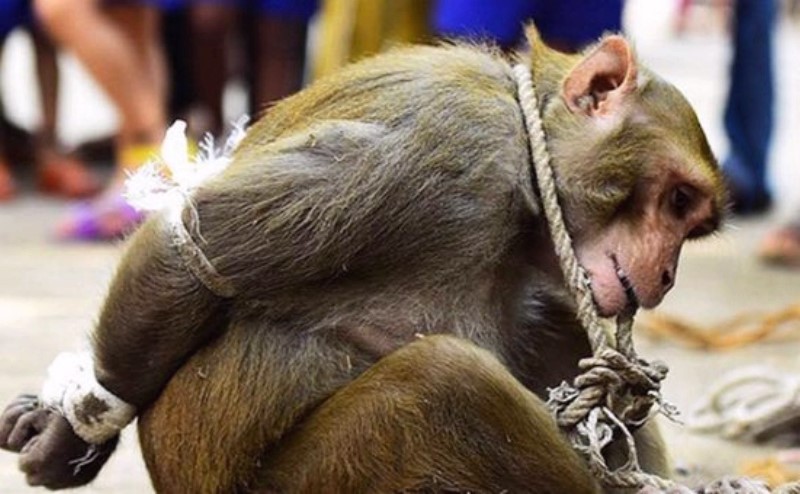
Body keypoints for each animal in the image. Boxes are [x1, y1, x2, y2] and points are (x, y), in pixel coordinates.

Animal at [0, 25, 726, 493]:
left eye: (692, 222)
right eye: (677, 198)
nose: (665, 275)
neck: (525, 158)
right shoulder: (447, 146)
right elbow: (189, 246)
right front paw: (72, 434)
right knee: (446, 380)